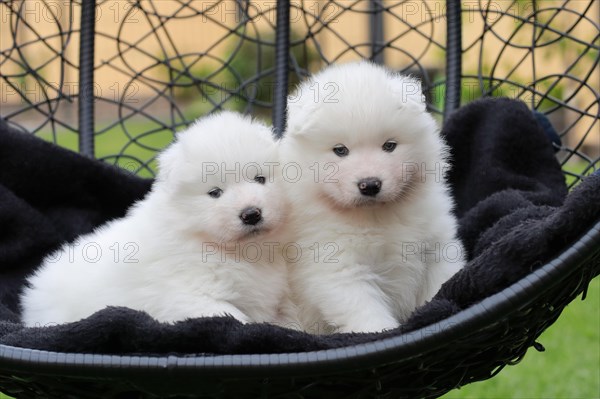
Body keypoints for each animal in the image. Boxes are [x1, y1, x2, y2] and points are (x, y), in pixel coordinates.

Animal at [282, 60, 464, 334]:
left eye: (389, 146)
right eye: (340, 150)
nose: (369, 185)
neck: (377, 215)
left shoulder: (437, 248)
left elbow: (439, 285)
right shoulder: (337, 264)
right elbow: (366, 312)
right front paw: (382, 330)